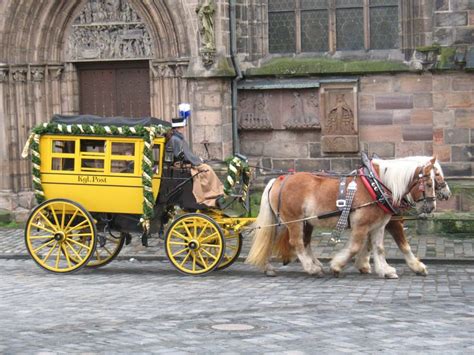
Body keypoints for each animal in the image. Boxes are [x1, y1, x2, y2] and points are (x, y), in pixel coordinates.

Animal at [248, 157, 436, 280]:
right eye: (428, 184)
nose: (431, 206)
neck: (376, 187)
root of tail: (278, 180)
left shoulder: (378, 226)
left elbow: (379, 248)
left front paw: (385, 270)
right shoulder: (361, 225)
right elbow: (355, 247)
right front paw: (336, 266)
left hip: (283, 222)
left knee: (269, 240)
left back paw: (268, 267)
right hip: (295, 221)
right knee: (297, 243)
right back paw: (312, 268)